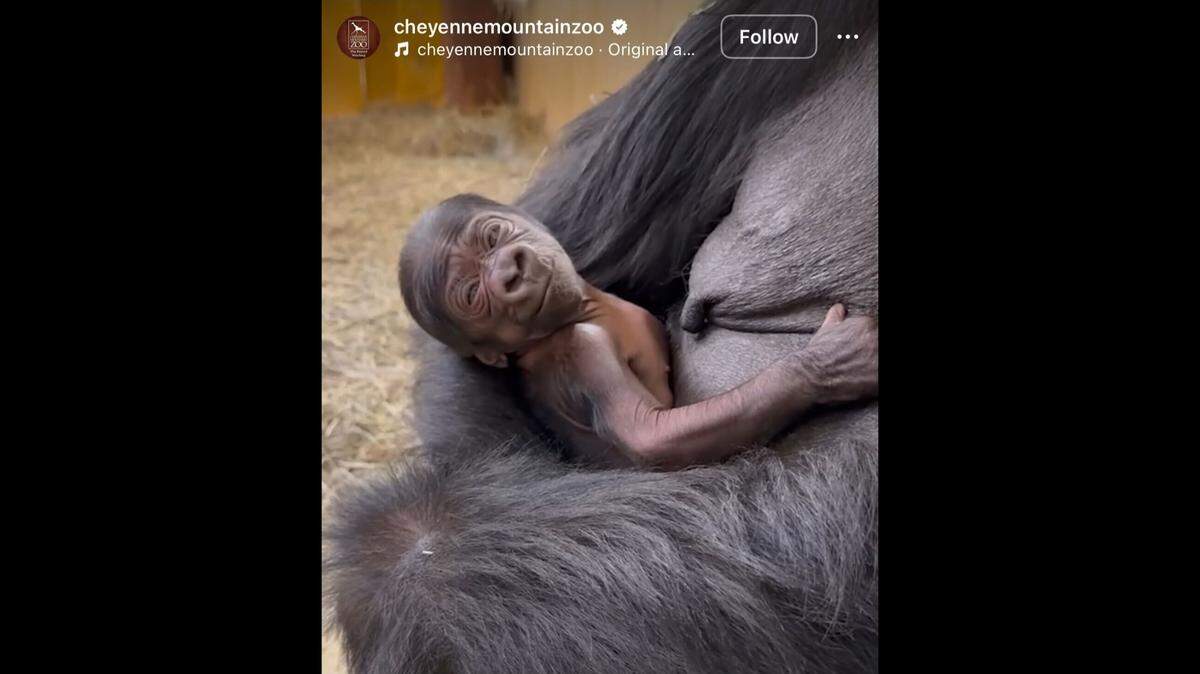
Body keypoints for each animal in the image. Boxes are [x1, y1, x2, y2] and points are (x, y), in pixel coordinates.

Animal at [398, 193, 878, 470]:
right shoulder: (584, 350)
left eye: (493, 236)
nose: (508, 274)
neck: (586, 309)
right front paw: (825, 366)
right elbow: (651, 438)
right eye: (472, 295)